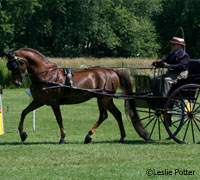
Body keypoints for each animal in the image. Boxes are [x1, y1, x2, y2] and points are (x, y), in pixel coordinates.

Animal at [3, 47, 147, 143]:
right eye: (9, 66)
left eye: (15, 65)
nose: (17, 82)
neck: (46, 75)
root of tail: (112, 70)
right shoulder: (39, 101)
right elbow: (24, 112)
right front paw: (22, 134)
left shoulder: (54, 102)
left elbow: (59, 119)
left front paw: (62, 138)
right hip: (107, 99)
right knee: (117, 114)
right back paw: (122, 137)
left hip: (102, 98)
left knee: (103, 116)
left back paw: (88, 136)